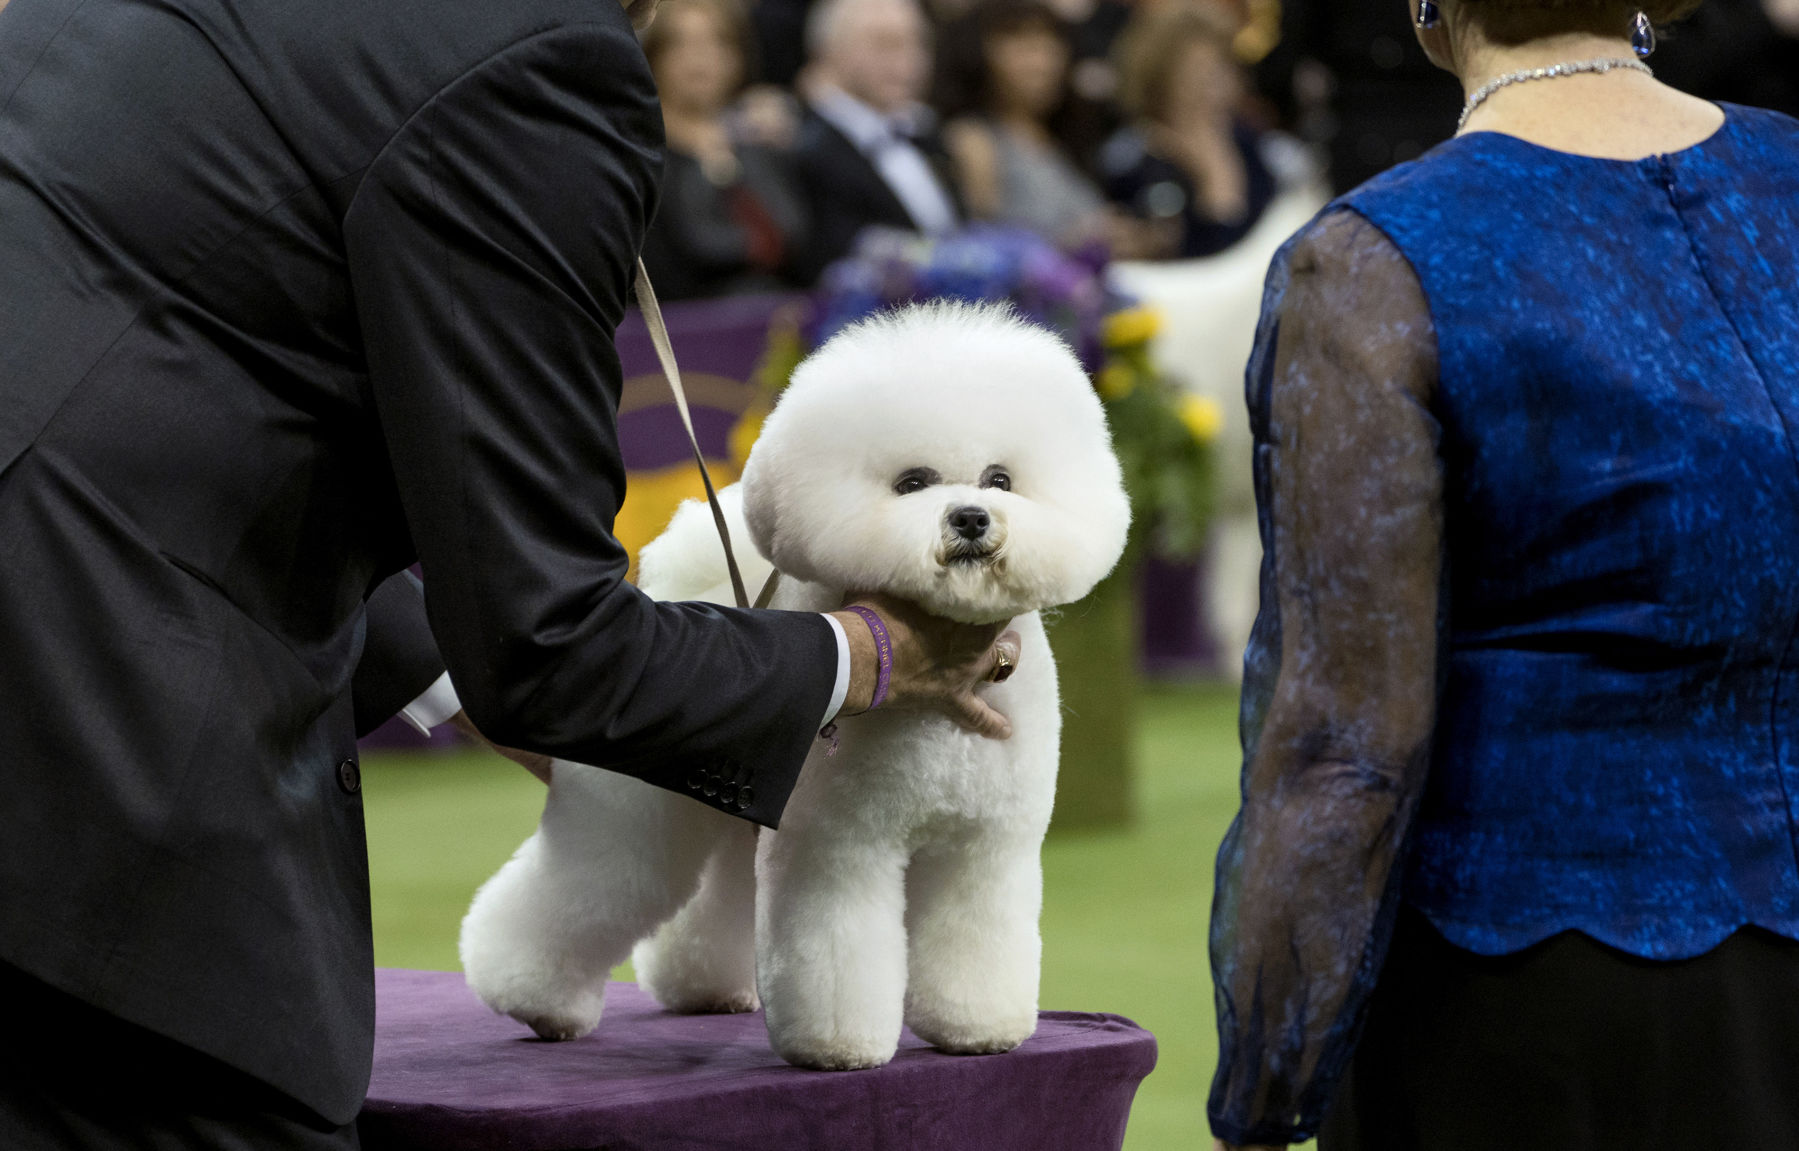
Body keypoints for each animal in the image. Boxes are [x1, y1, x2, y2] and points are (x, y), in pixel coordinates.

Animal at [460, 298, 1122, 1071]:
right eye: (912, 482)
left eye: (999, 479)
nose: (970, 518)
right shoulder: (834, 847)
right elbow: (836, 951)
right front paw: (837, 1047)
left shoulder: (984, 846)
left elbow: (975, 941)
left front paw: (977, 1028)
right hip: (635, 815)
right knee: (585, 888)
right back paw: (532, 997)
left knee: (708, 899)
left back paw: (703, 988)